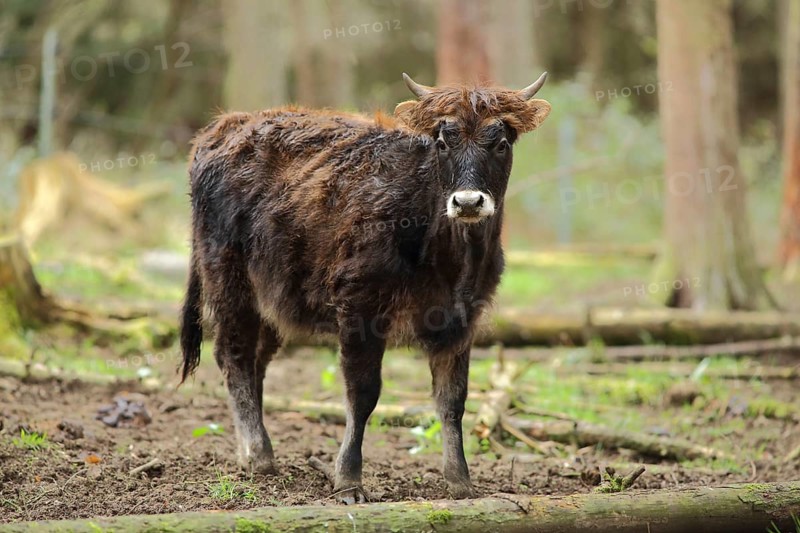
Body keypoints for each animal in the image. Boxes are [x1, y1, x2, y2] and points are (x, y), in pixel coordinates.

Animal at [179, 72, 551, 503]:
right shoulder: (360, 306)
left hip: (271, 300)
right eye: (444, 142)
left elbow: (452, 399)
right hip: (228, 282)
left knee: (256, 361)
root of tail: (223, 127)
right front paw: (348, 480)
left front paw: (460, 481)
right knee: (233, 355)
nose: (468, 202)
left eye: (501, 142)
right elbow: (363, 393)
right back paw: (259, 456)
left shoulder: (461, 318)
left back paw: (251, 450)